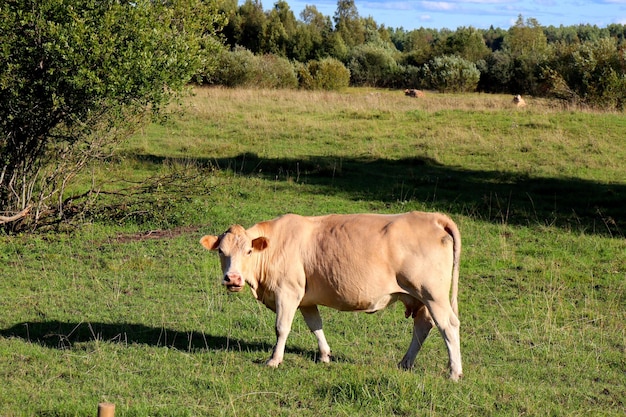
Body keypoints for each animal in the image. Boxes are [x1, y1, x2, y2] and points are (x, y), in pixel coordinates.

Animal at [200, 211, 464, 380]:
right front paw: (325, 355)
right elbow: (315, 325)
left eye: (248, 251)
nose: (233, 279)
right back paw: (405, 362)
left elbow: (281, 327)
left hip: (433, 294)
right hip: (421, 298)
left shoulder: (287, 292)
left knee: (448, 325)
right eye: (221, 251)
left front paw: (274, 360)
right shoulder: (305, 298)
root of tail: (433, 216)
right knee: (423, 325)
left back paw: (454, 372)